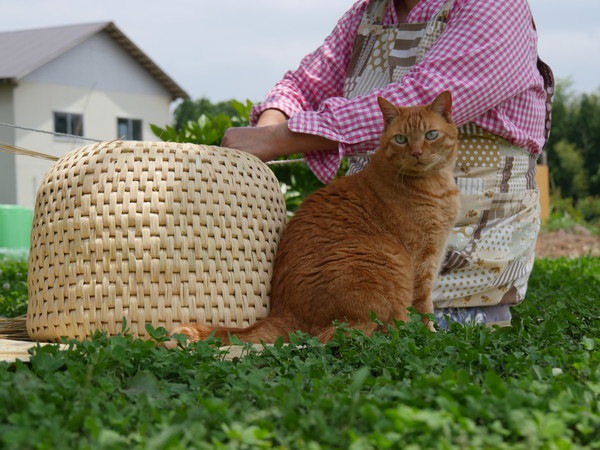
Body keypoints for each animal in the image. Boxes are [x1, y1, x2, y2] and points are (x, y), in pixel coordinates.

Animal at [168, 90, 460, 344]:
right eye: (401, 139)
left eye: (431, 135)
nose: (417, 153)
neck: (435, 184)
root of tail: (283, 312)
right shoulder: (422, 260)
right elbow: (423, 306)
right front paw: (431, 335)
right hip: (386, 259)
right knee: (351, 333)